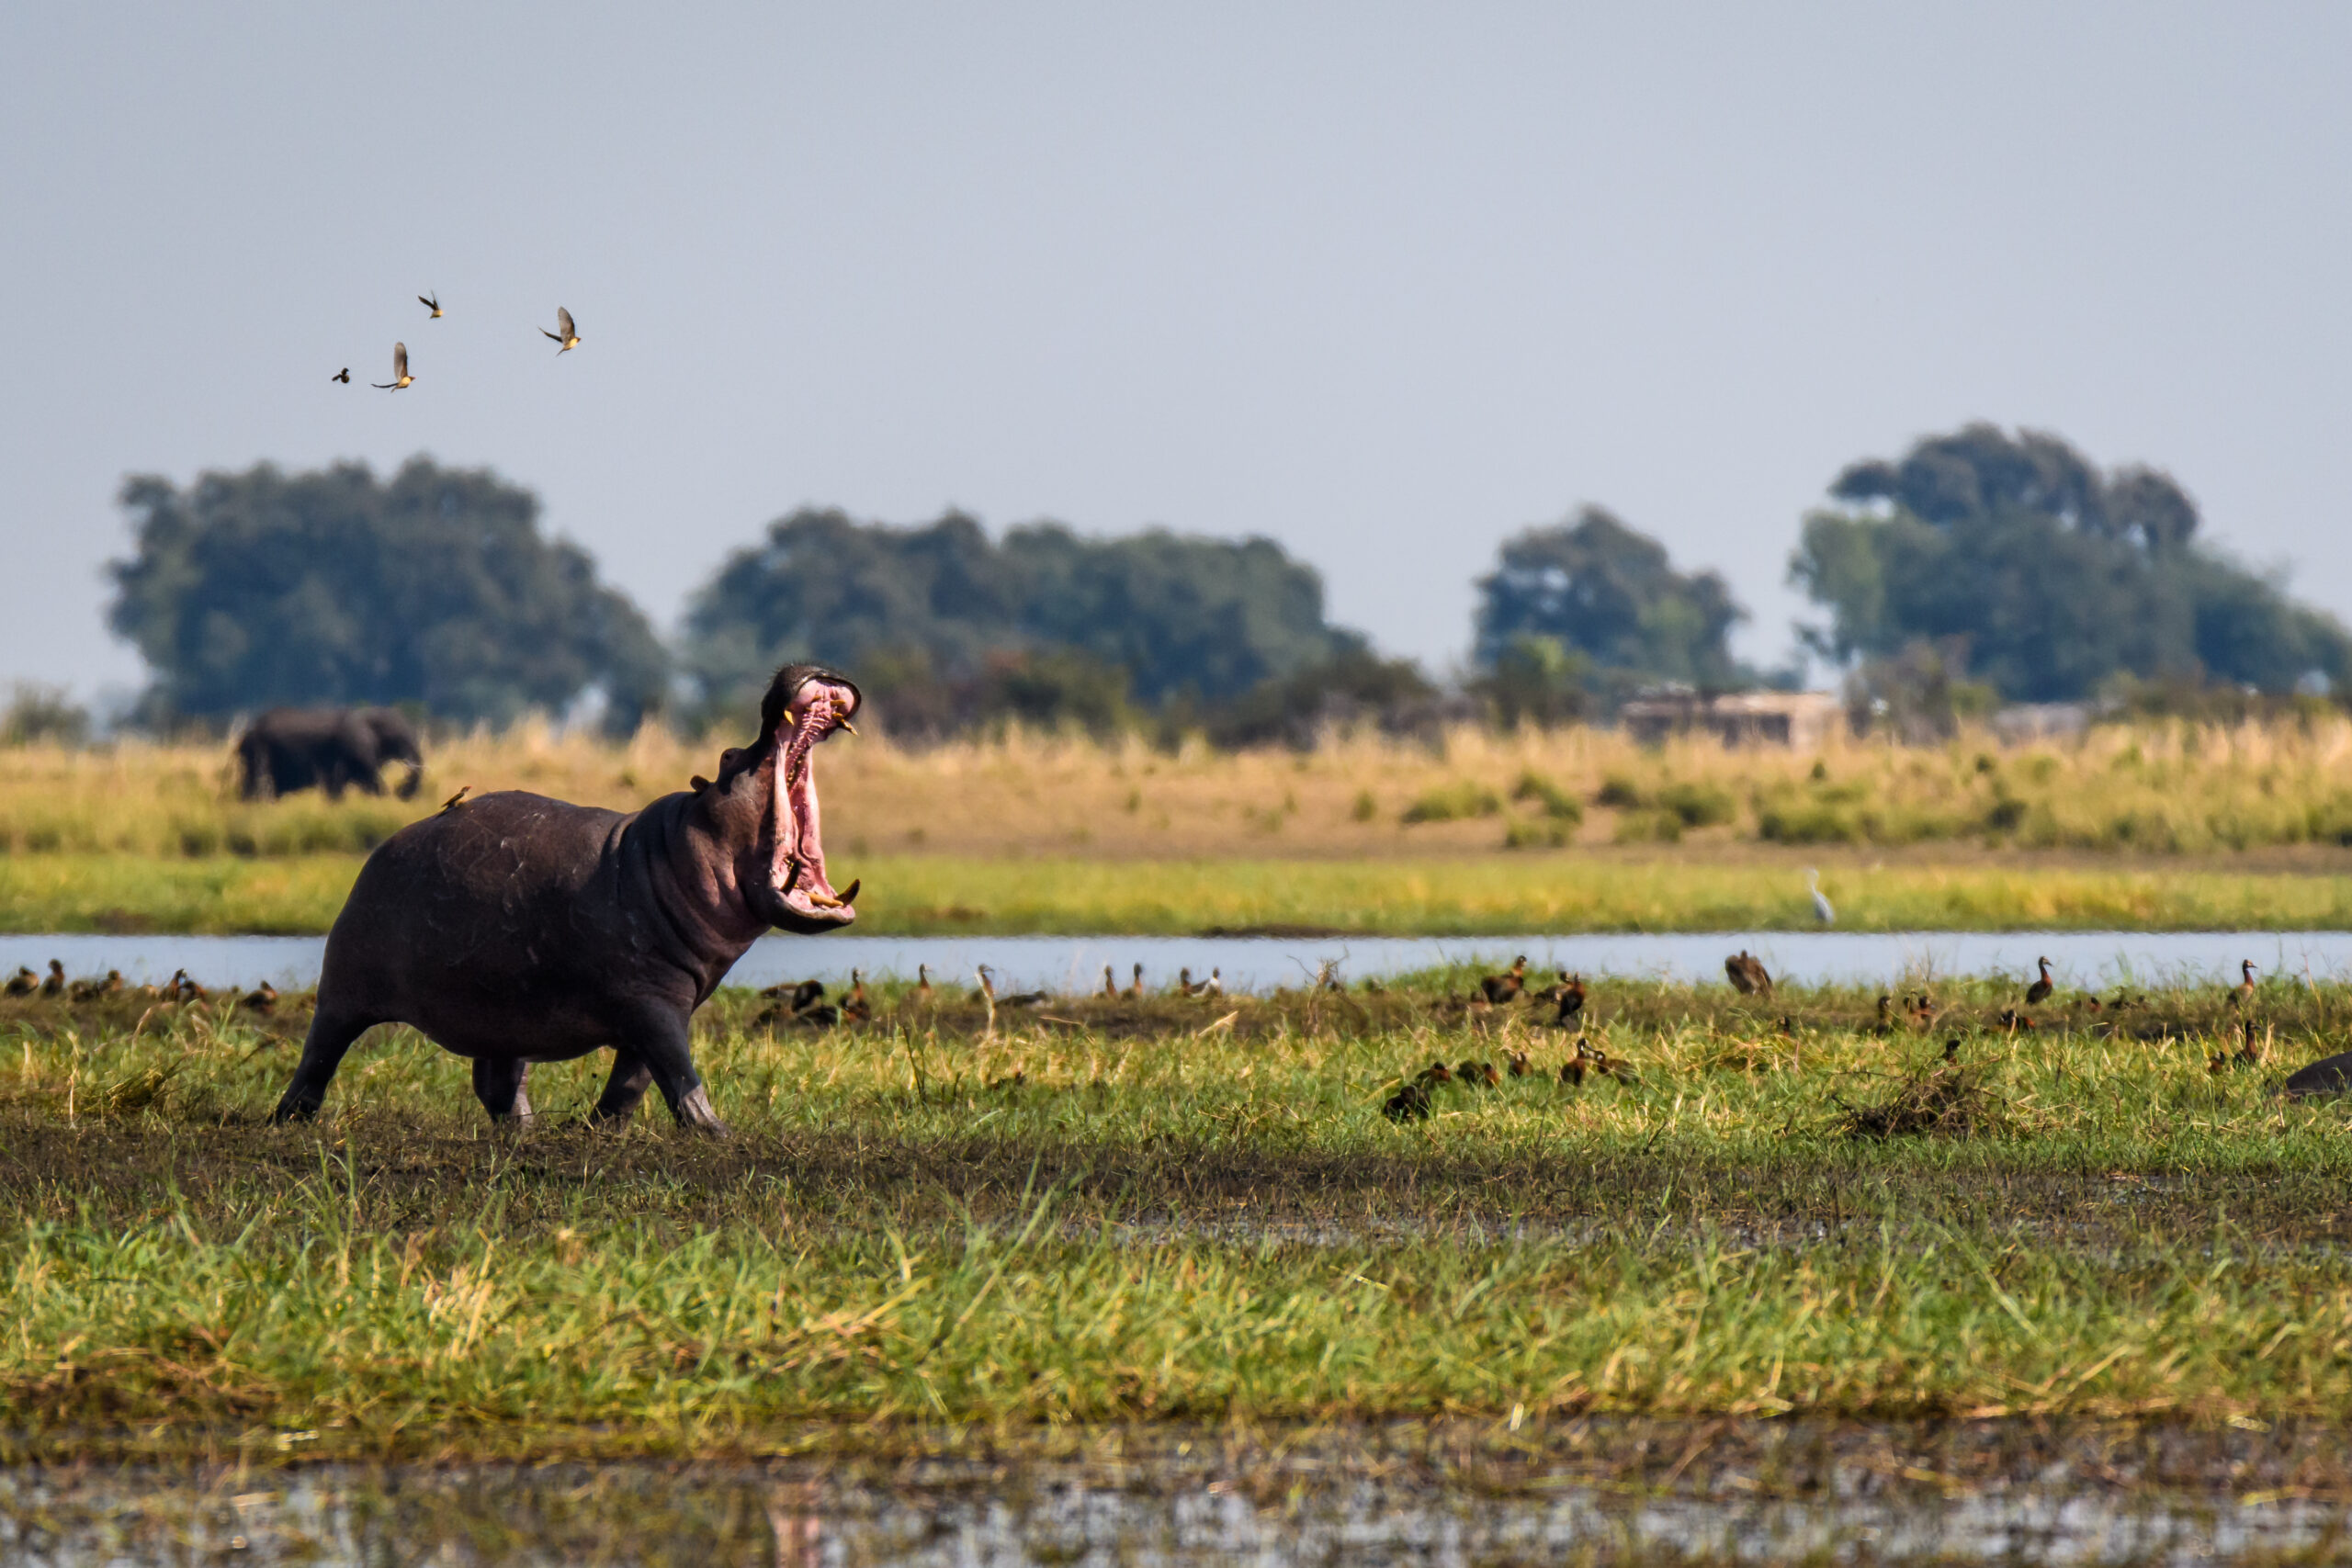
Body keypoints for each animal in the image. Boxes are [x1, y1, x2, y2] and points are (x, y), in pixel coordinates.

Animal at [271, 665, 861, 1134]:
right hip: (346, 987)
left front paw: (600, 1129)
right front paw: (716, 1132)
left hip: (504, 1011)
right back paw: (289, 1118)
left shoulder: (668, 999)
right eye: (729, 755)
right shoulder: (650, 1001)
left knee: (500, 1081)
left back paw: (524, 1130)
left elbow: (635, 1079)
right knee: (320, 1053)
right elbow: (677, 1071)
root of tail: (383, 847)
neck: (676, 849)